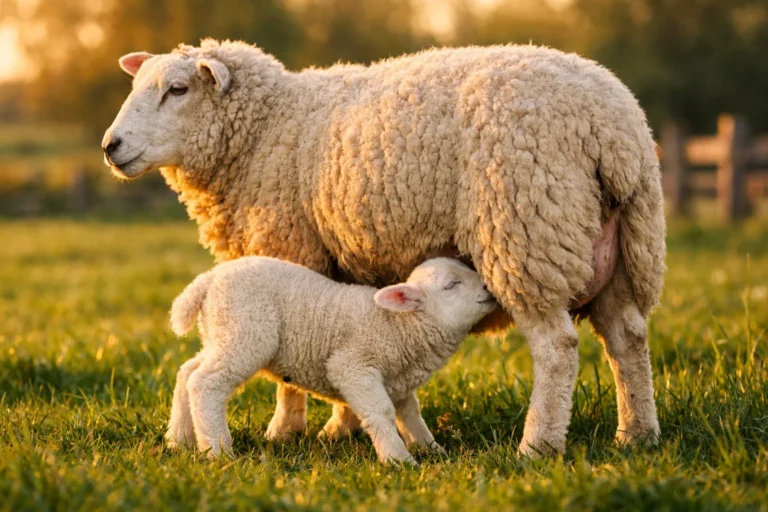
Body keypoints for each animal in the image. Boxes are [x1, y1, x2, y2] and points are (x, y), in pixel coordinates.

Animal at [165, 256, 497, 463]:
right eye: (451, 285)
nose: (488, 287)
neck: (399, 325)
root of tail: (208, 279)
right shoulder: (352, 366)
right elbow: (382, 412)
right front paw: (398, 459)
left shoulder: (400, 383)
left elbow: (411, 417)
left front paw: (433, 451)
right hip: (245, 332)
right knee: (205, 384)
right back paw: (218, 450)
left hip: (219, 333)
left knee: (187, 372)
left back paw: (179, 439)